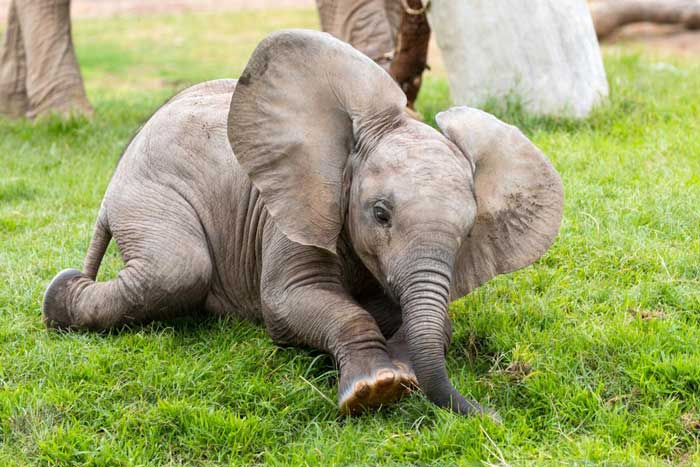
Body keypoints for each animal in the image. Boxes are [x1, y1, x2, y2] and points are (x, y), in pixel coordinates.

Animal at [43, 29, 564, 416]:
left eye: (466, 234)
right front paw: (376, 388)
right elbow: (291, 300)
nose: (493, 414)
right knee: (176, 270)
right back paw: (59, 296)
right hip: (148, 192)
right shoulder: (294, 210)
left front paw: (403, 368)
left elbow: (430, 317)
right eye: (379, 213)